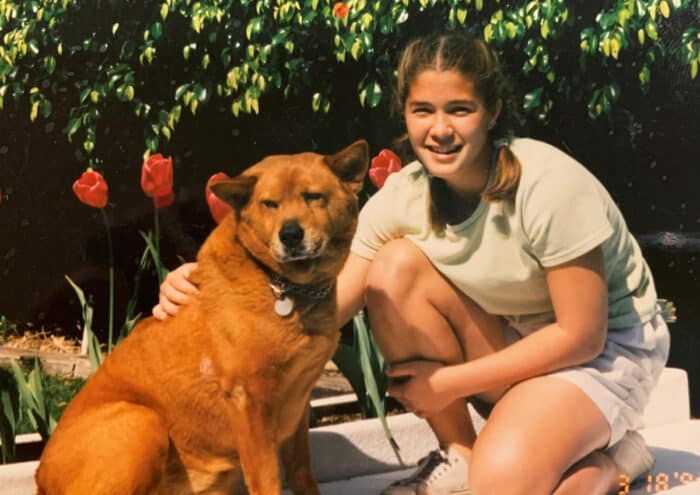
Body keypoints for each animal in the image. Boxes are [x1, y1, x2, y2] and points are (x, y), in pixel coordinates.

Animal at [37, 140, 372, 495]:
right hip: (142, 420)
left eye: (313, 196)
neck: (280, 283)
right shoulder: (249, 399)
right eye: (269, 204)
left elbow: (301, 470)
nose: (290, 234)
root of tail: (40, 477)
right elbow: (266, 477)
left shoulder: (298, 398)